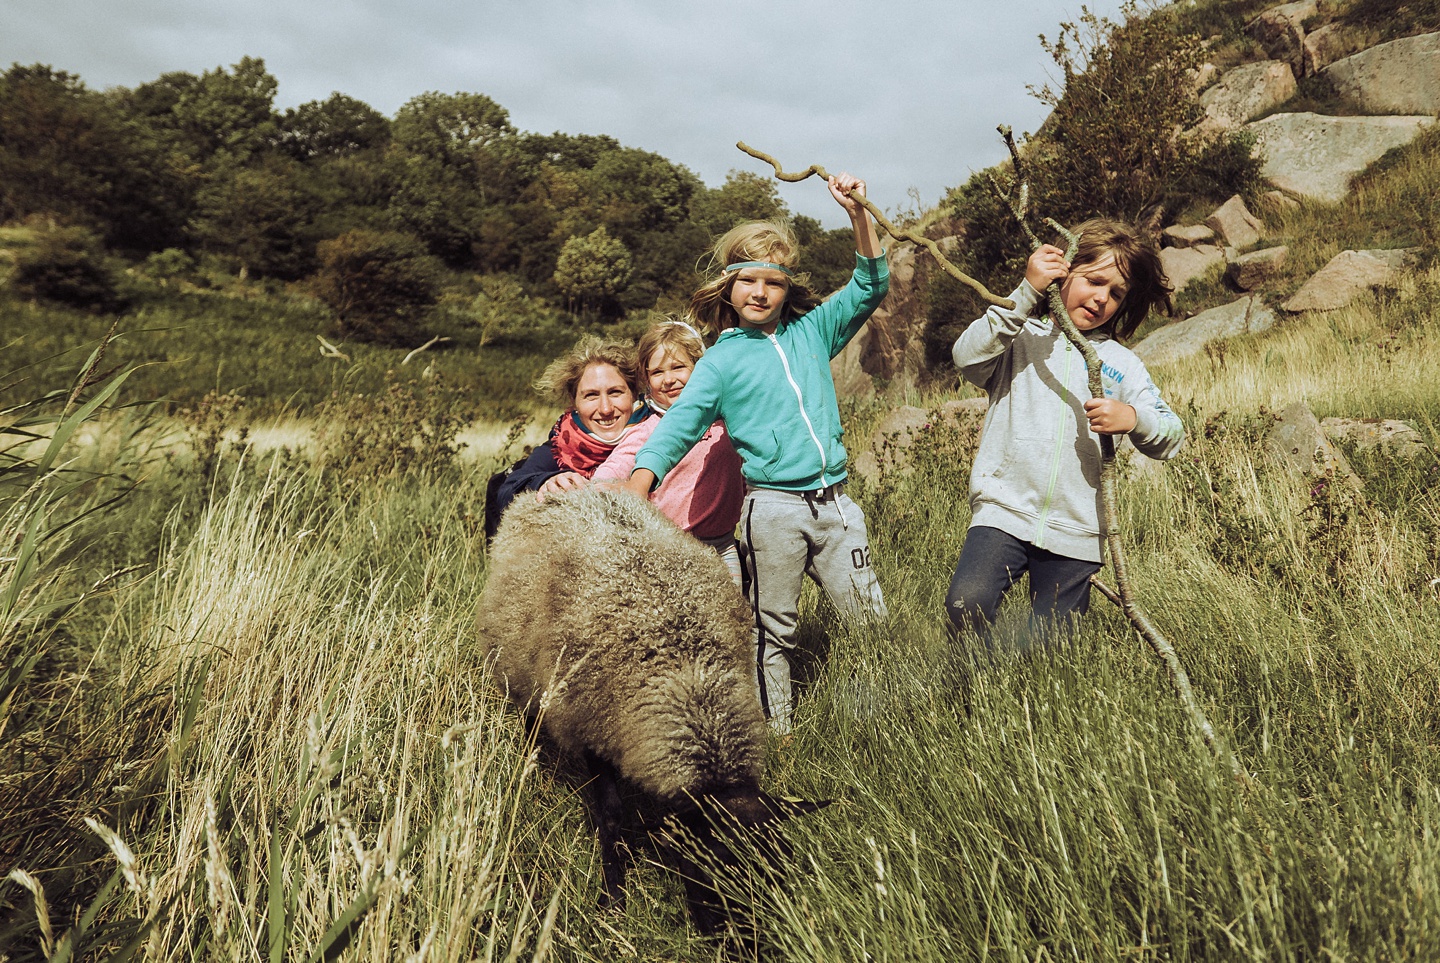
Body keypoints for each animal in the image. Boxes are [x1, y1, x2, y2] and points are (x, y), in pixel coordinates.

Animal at [478, 483, 829, 932]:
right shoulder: (594, 725)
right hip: (521, 671)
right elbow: (611, 816)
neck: (688, 677)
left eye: (777, 870)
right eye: (713, 866)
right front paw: (613, 900)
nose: (752, 940)